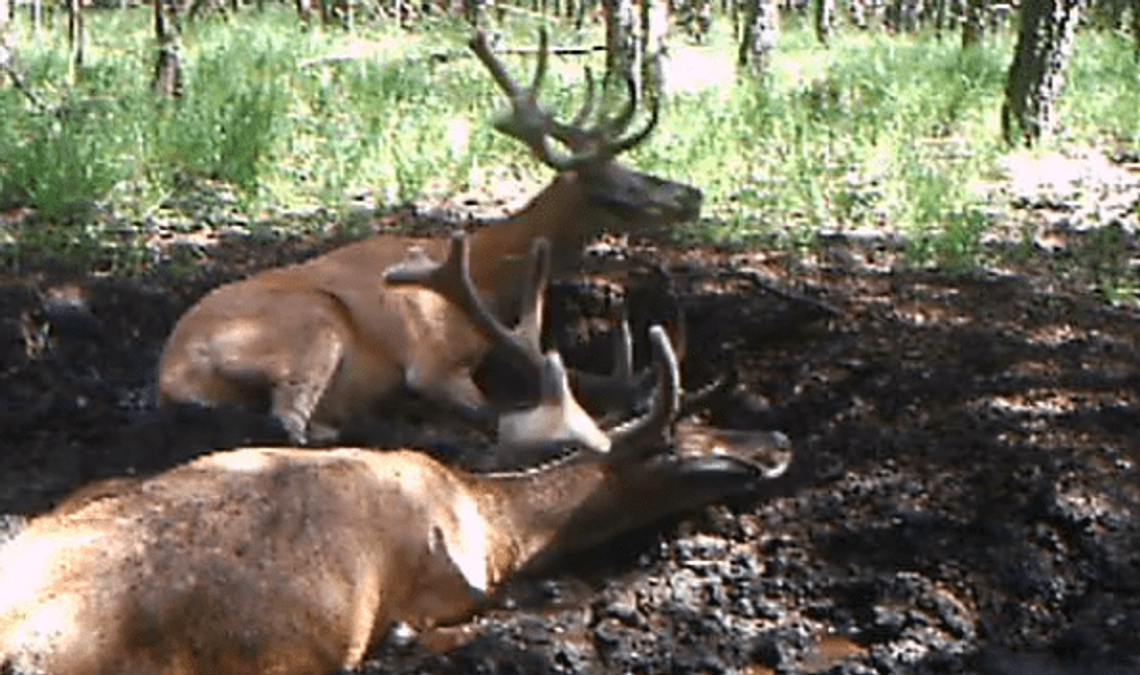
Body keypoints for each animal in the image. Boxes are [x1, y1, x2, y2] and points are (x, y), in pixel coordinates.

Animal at [156, 27, 697, 449]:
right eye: (623, 188)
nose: (693, 194)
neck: (484, 272)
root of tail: (171, 374)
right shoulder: (433, 362)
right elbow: (487, 410)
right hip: (313, 322)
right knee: (289, 421)